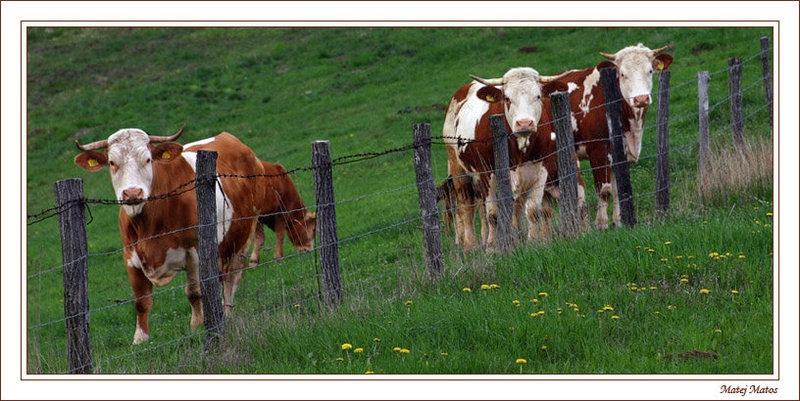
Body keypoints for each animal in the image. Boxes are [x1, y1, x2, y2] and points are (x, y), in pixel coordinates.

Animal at [74, 127, 265, 345]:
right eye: (112, 162)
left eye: (148, 159)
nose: (132, 193)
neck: (148, 225)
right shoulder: (130, 257)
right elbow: (142, 301)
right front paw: (140, 339)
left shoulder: (195, 251)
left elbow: (194, 293)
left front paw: (196, 326)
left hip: (242, 236)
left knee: (231, 278)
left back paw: (226, 312)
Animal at [443, 67, 584, 250]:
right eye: (507, 98)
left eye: (538, 96)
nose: (524, 123)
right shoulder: (488, 174)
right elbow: (493, 214)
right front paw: (492, 248)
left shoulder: (540, 171)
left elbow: (532, 211)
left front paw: (532, 242)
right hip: (458, 168)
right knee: (466, 206)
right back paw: (470, 246)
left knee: (514, 208)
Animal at [554, 43, 673, 229]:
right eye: (622, 74)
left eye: (650, 71)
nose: (641, 99)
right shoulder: (598, 151)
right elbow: (604, 191)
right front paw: (602, 224)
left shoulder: (621, 153)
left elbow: (618, 190)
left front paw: (619, 221)